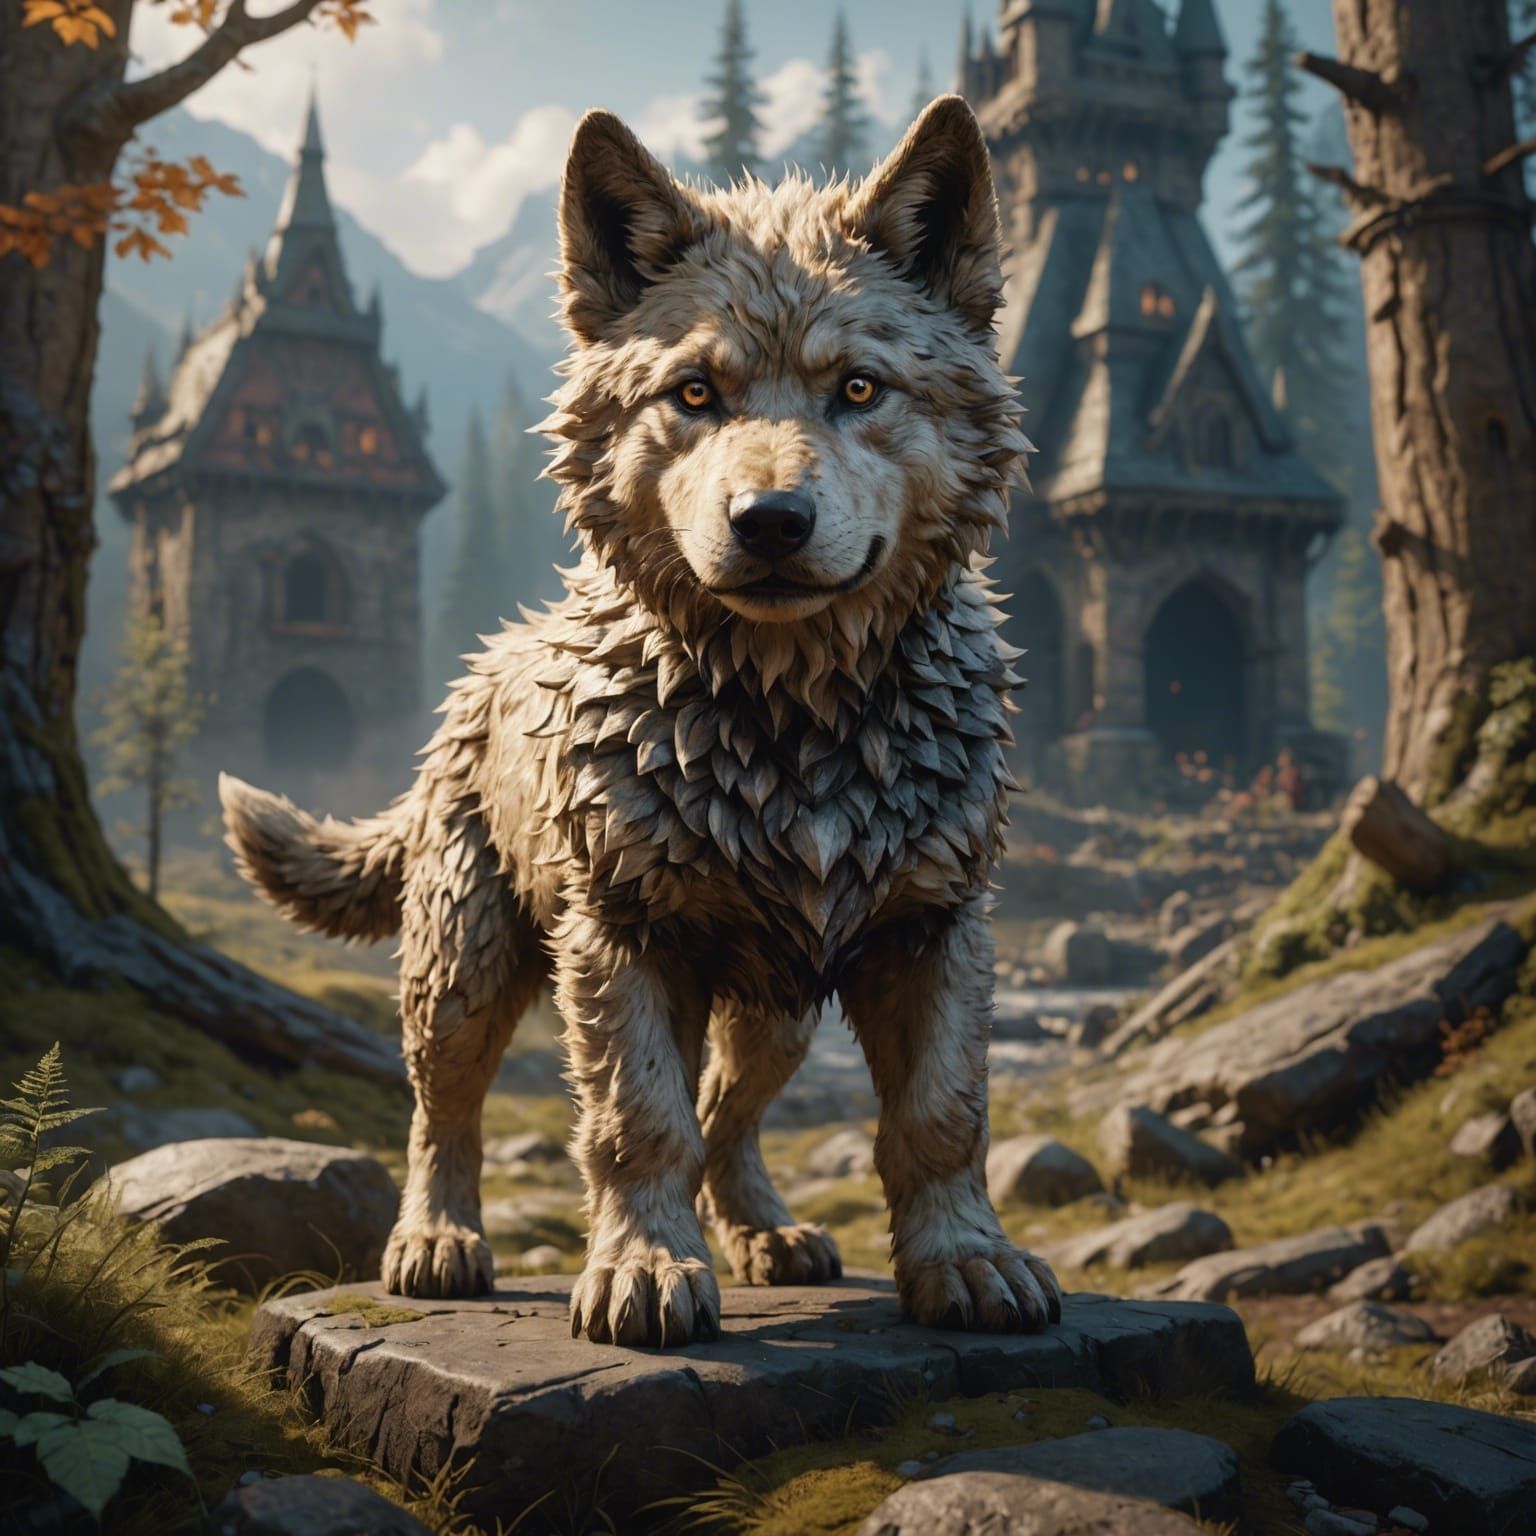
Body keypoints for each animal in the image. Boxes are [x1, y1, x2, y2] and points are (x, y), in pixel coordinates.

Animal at [220, 95, 1062, 1347]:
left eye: (860, 390)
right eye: (695, 394)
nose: (770, 520)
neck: (794, 718)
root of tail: (483, 664)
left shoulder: (937, 927)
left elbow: (941, 1117)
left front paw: (966, 1259)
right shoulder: (620, 939)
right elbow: (637, 1122)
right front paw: (645, 1270)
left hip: (776, 1007)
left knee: (731, 1113)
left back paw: (765, 1232)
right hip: (463, 970)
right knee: (442, 1109)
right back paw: (435, 1241)